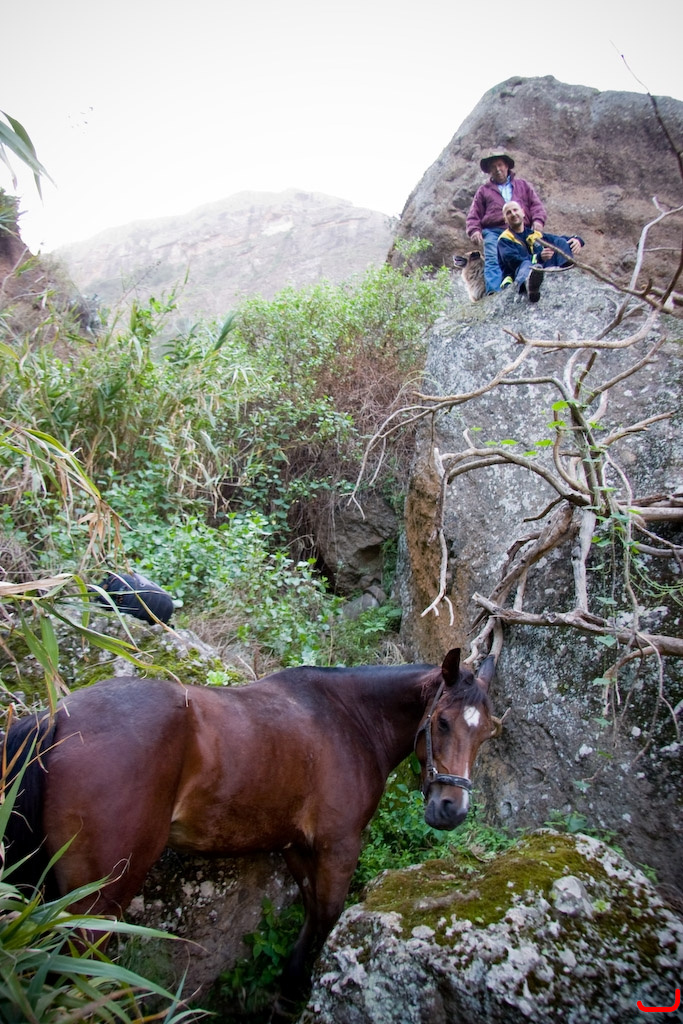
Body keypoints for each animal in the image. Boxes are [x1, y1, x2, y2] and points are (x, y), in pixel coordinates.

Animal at [2, 648, 498, 1009]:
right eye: (441, 721)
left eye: (486, 733)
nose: (452, 809)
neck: (348, 718)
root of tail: (56, 717)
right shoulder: (339, 845)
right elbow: (328, 914)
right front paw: (299, 988)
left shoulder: (298, 846)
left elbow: (312, 912)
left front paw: (290, 982)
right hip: (99, 900)